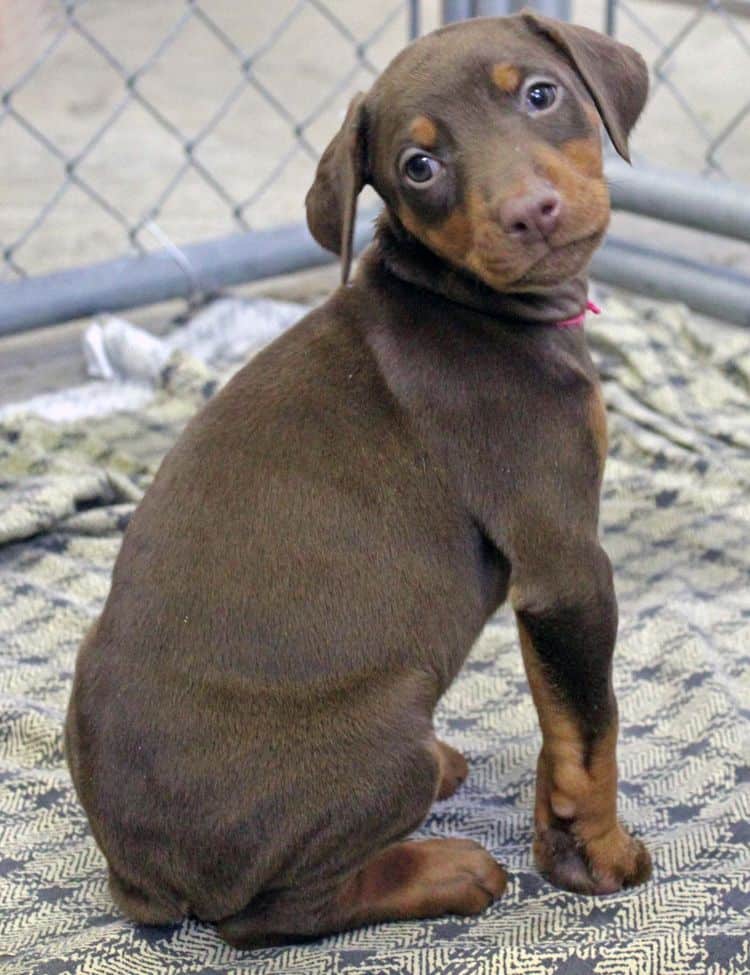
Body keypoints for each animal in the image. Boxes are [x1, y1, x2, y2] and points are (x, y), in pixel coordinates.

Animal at [64, 11, 652, 948]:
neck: (464, 297)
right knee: (265, 914)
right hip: (382, 742)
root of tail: (140, 876)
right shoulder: (566, 563)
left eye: (540, 93)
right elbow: (591, 731)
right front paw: (600, 857)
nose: (531, 213)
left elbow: (561, 715)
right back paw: (444, 869)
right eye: (419, 167)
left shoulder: (547, 588)